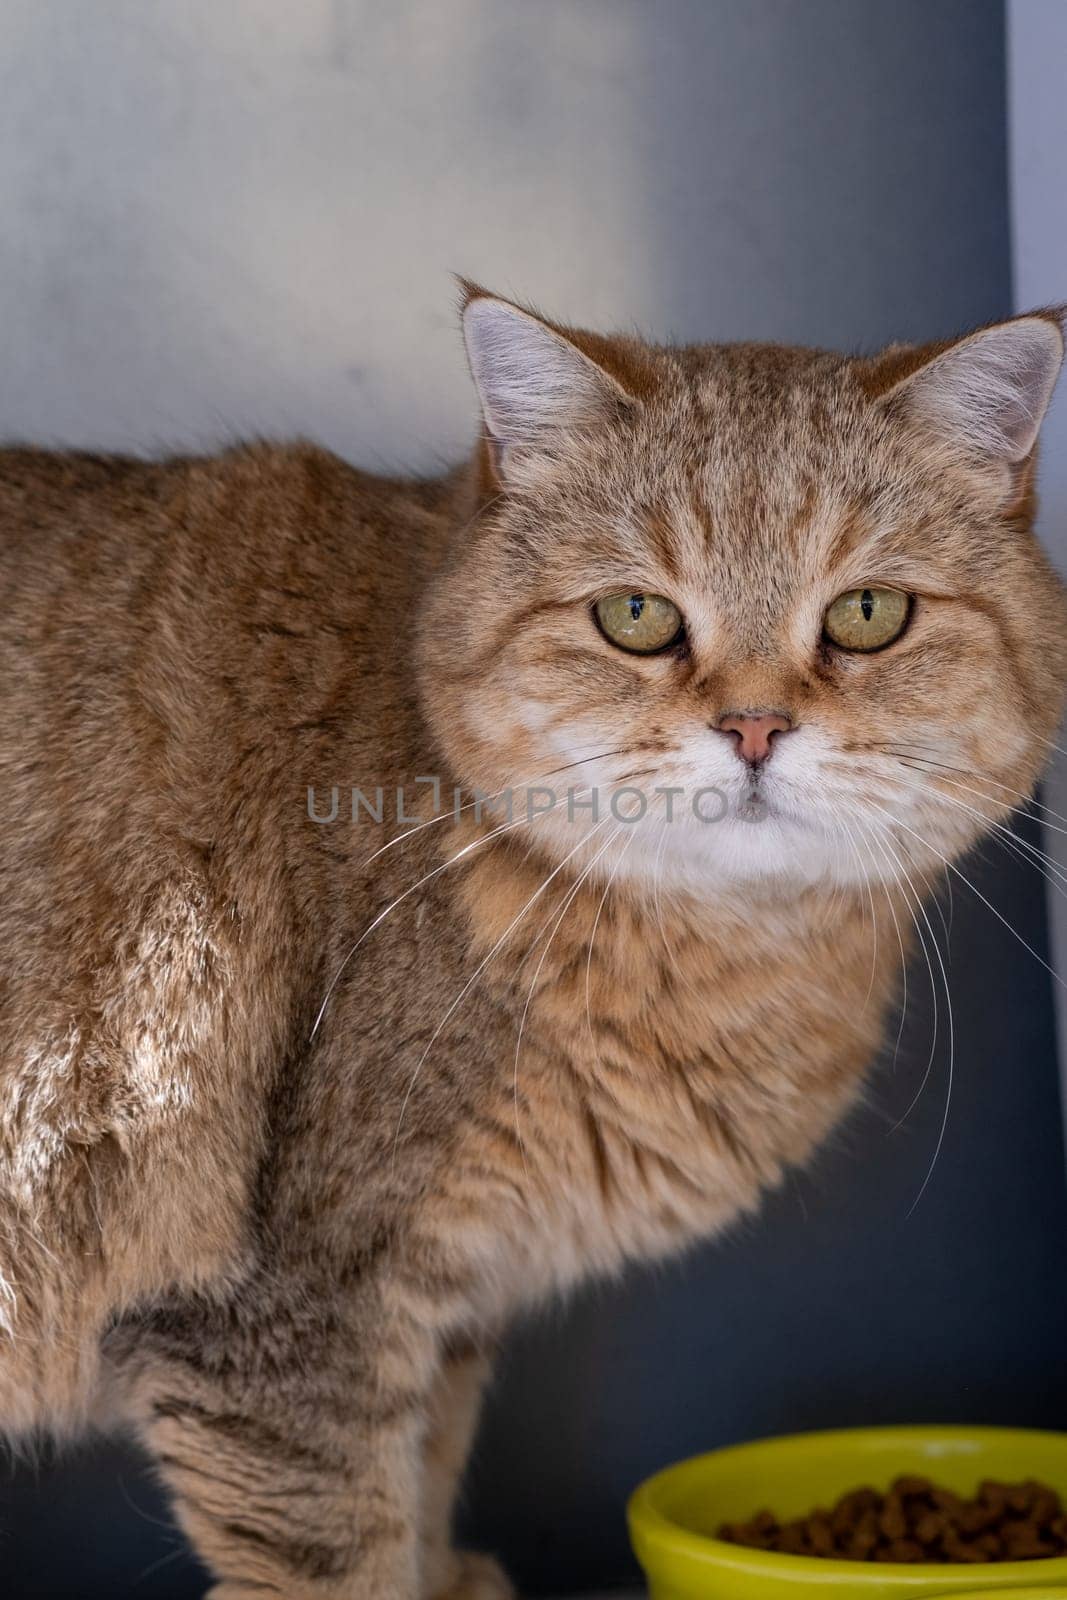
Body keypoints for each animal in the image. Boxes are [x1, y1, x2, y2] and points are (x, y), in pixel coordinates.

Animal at [0, 281, 1062, 1593]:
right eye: (635, 616)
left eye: (867, 613)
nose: (753, 726)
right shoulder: (290, 1309)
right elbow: (339, 1554)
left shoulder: (441, 1314)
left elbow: (421, 1485)